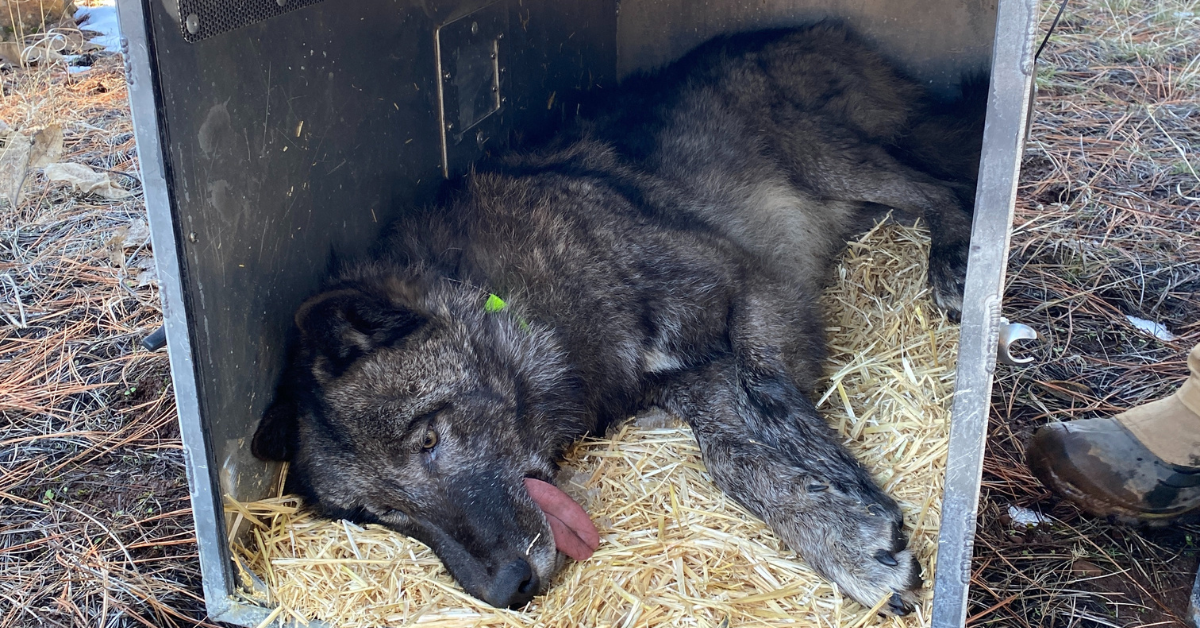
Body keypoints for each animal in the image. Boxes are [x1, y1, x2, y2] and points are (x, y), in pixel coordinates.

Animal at [251, 23, 985, 615]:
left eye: (427, 442)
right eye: (381, 515)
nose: (505, 591)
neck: (531, 306)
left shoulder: (750, 285)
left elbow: (771, 395)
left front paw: (845, 502)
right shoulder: (692, 379)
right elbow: (733, 456)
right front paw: (835, 530)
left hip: (818, 152)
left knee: (944, 189)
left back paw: (954, 262)